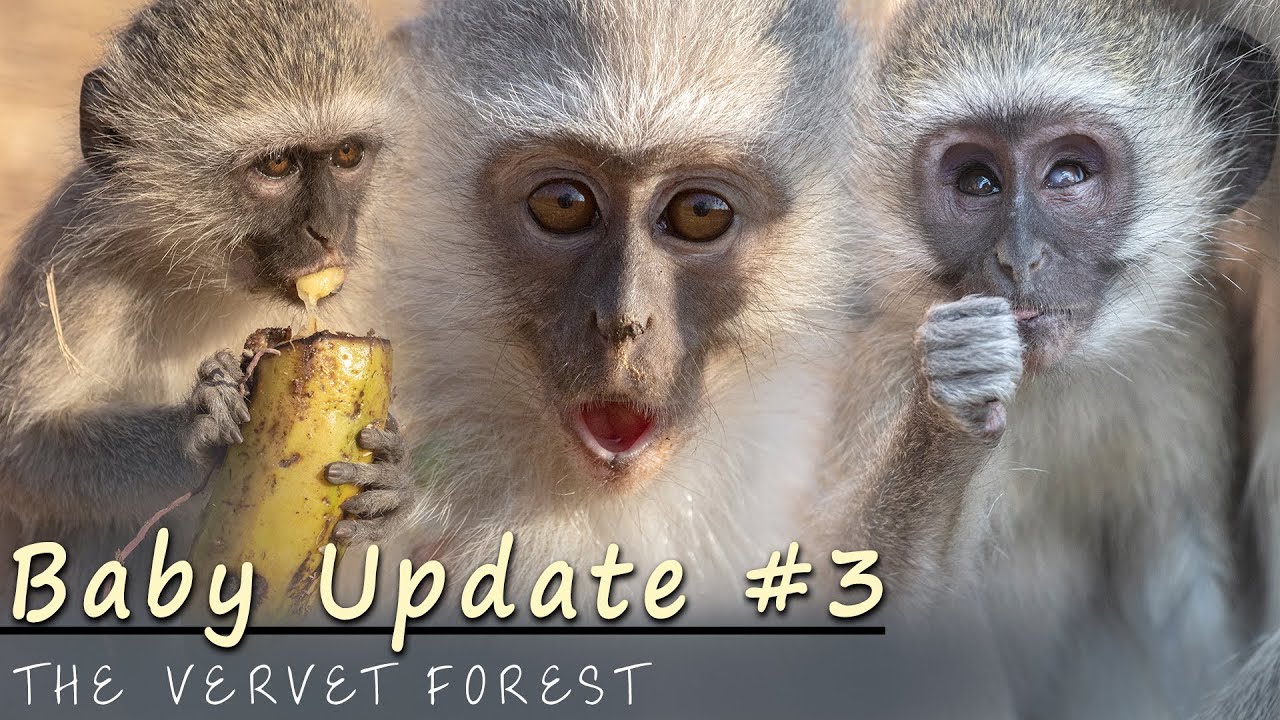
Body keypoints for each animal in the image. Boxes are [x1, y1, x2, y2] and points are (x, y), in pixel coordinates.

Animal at [0, 0, 413, 597]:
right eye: (275, 165)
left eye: (347, 153)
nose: (329, 231)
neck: (211, 279)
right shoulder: (74, 274)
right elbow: (22, 453)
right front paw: (192, 433)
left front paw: (393, 483)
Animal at [810, 0, 1279, 715]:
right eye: (978, 181)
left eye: (1068, 175)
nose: (1018, 259)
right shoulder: (885, 361)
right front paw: (948, 411)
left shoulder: (1184, 363)